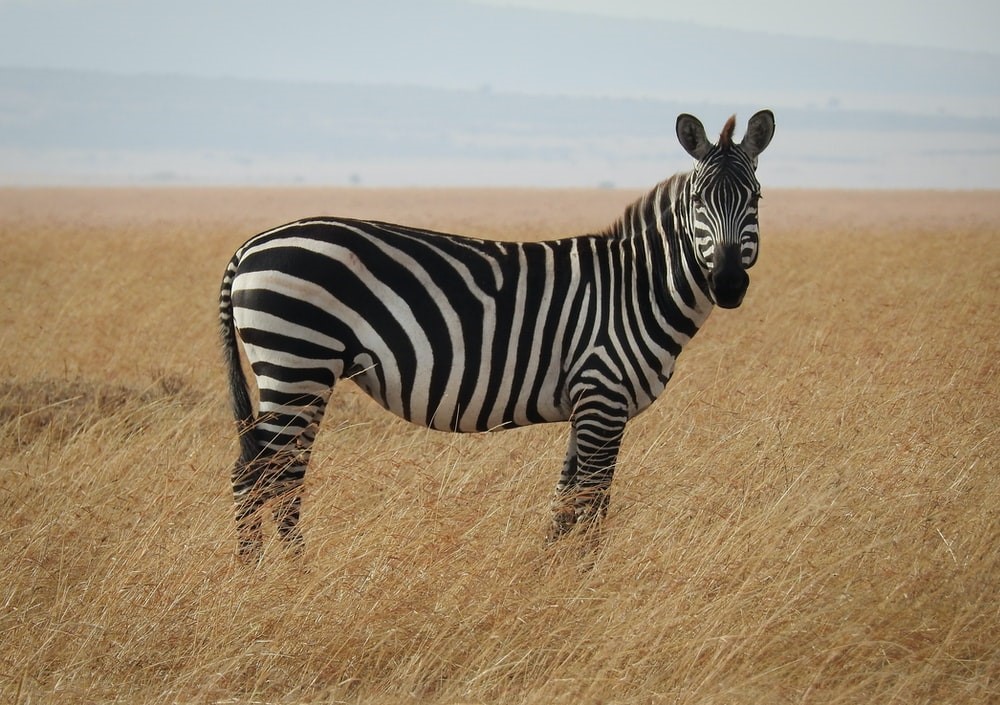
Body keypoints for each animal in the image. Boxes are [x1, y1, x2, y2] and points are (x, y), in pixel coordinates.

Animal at [219, 110, 775, 560]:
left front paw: (547, 577)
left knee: (275, 474)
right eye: (699, 200)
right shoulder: (603, 395)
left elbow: (564, 502)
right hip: (298, 362)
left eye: (756, 198)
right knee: (262, 475)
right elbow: (593, 501)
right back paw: (275, 577)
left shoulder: (586, 404)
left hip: (302, 372)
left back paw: (273, 573)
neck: (636, 287)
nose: (728, 284)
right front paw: (587, 581)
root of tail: (250, 245)